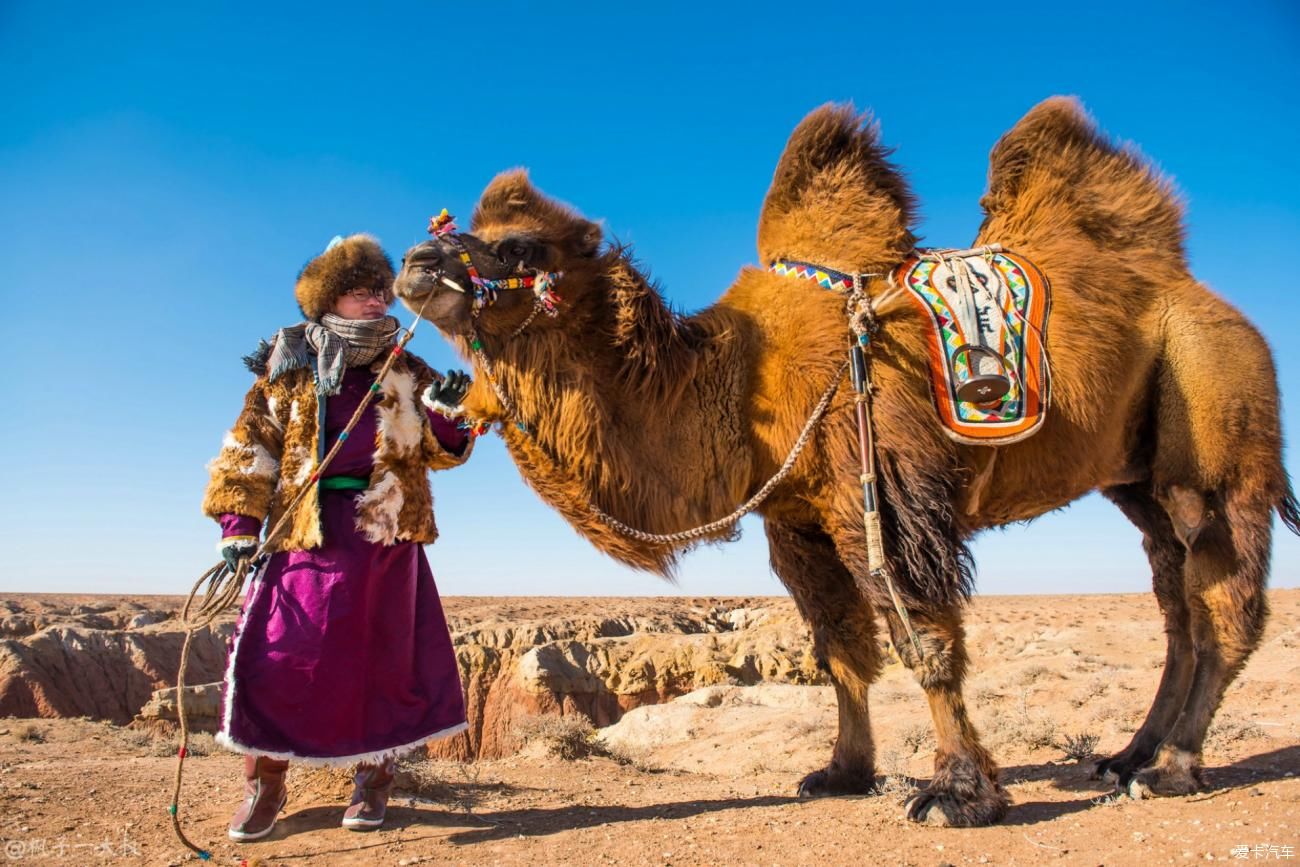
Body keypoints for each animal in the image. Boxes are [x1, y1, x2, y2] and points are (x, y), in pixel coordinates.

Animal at [395, 100, 1300, 826]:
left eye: (517, 246)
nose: (414, 263)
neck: (738, 383)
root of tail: (1208, 298)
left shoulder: (881, 490)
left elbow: (922, 638)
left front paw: (959, 793)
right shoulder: (794, 517)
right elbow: (838, 648)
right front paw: (842, 771)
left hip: (1215, 411)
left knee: (1221, 600)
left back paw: (1174, 767)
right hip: (1134, 474)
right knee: (1175, 599)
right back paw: (1128, 756)